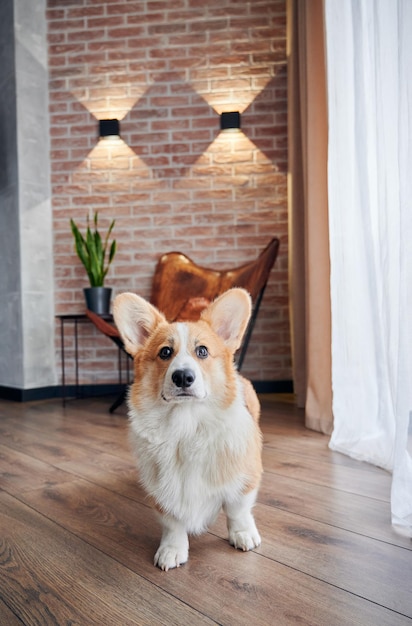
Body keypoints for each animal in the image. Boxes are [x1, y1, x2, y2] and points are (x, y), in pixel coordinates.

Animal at [112, 286, 260, 568]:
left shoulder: (244, 476)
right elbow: (172, 523)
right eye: (165, 352)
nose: (182, 377)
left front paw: (243, 533)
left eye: (202, 351)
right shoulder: (163, 491)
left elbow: (237, 508)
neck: (186, 425)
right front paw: (172, 549)